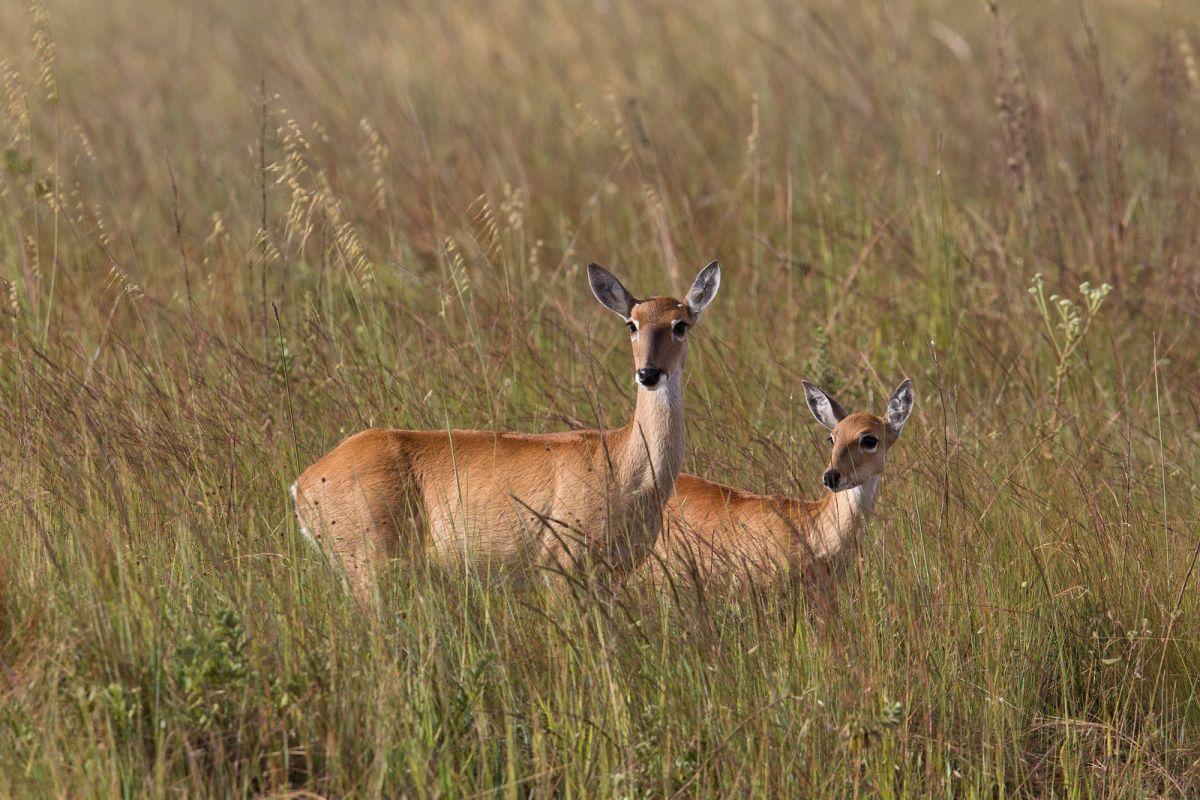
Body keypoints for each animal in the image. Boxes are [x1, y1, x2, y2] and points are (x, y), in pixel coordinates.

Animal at [290, 262, 720, 599]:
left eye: (680, 324)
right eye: (632, 324)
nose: (648, 373)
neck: (627, 470)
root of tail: (301, 485)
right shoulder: (559, 565)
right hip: (366, 562)